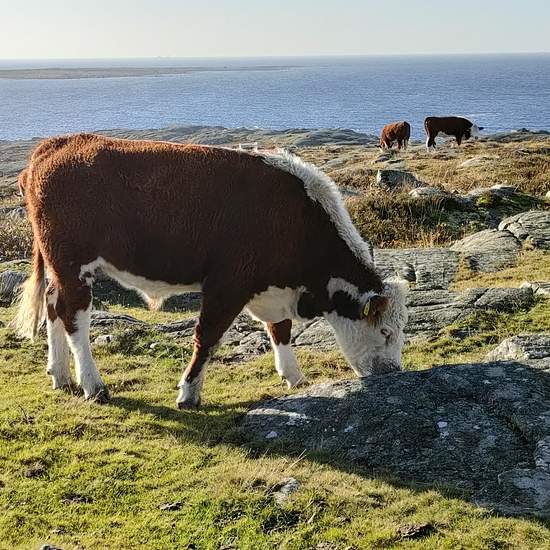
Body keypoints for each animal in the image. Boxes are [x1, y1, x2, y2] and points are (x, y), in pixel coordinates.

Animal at [14, 134, 408, 409]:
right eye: (386, 332)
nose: (394, 375)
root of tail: (57, 144)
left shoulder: (269, 288)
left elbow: (280, 330)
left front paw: (294, 377)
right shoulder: (227, 284)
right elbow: (207, 337)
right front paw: (188, 393)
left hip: (58, 265)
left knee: (52, 304)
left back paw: (60, 375)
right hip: (73, 264)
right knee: (74, 318)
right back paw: (93, 385)